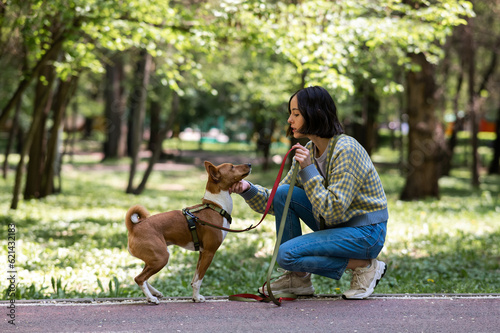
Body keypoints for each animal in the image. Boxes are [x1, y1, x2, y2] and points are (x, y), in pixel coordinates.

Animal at [125, 161, 250, 304]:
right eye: (232, 167)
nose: (249, 164)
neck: (216, 207)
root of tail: (133, 227)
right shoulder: (209, 252)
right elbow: (198, 281)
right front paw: (196, 298)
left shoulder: (202, 252)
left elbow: (194, 278)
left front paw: (195, 296)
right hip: (161, 258)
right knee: (140, 278)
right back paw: (151, 298)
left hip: (153, 258)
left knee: (142, 277)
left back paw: (154, 293)